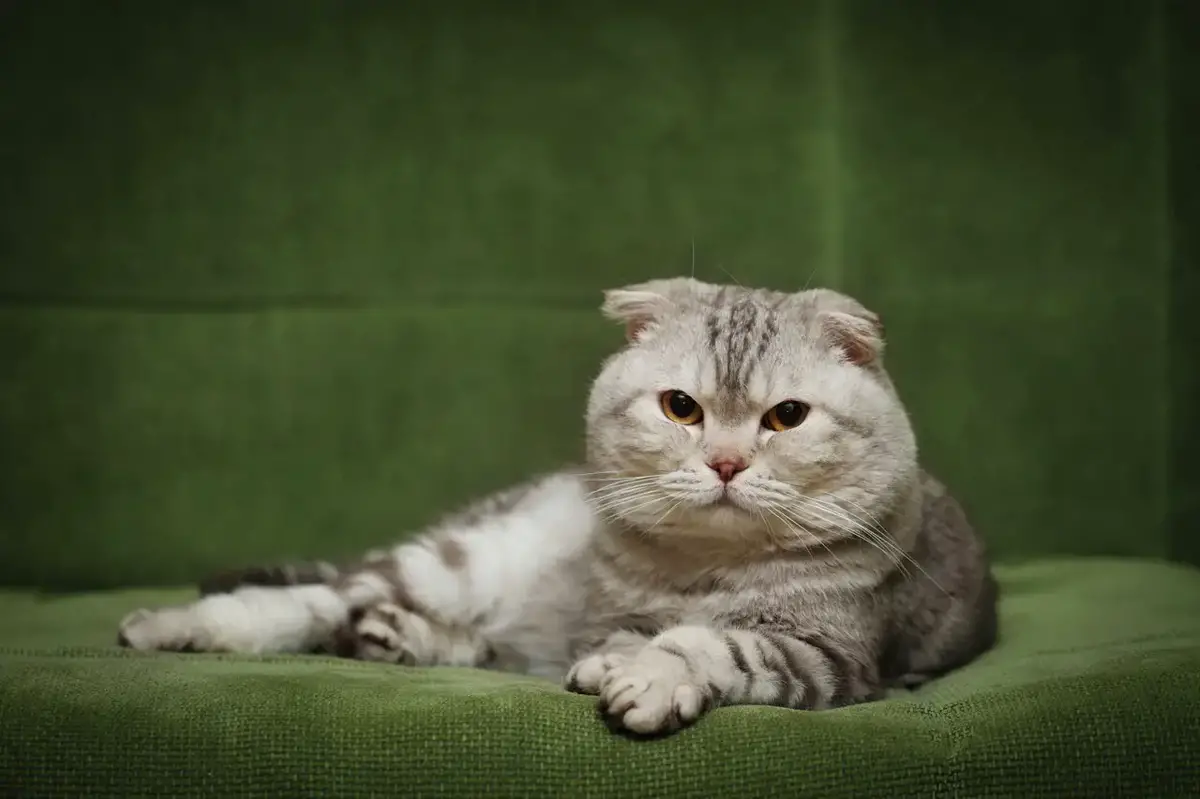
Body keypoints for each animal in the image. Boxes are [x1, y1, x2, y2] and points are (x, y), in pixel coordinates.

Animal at [117, 277, 998, 729]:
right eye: (681, 407)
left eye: (786, 416)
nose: (724, 462)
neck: (704, 569)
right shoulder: (615, 610)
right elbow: (652, 634)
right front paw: (630, 659)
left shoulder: (831, 655)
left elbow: (708, 642)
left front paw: (645, 673)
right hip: (461, 559)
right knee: (307, 600)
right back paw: (171, 626)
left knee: (429, 633)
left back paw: (397, 638)